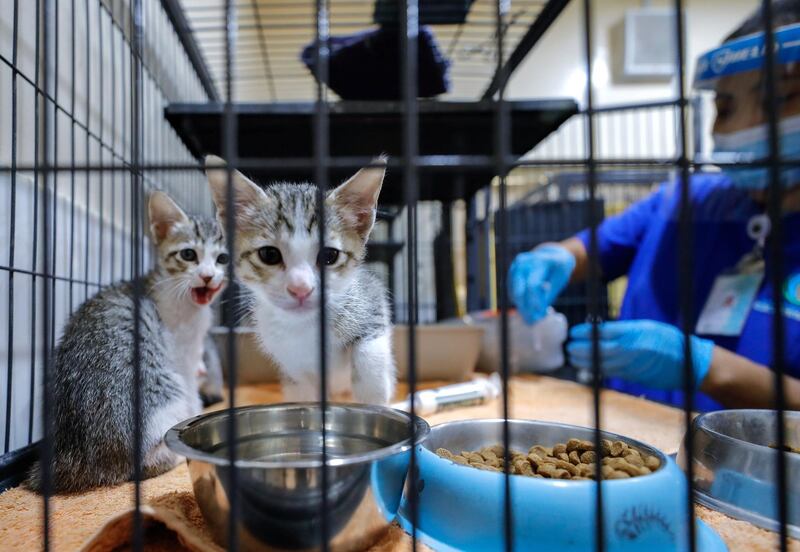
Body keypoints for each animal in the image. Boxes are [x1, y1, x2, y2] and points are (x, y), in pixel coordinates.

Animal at [27, 193, 228, 492]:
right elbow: (192, 387)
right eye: (188, 255)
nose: (207, 276)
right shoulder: (183, 354)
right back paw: (171, 455)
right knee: (140, 463)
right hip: (162, 394)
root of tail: (70, 461)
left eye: (222, 258)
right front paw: (195, 413)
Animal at [205, 155, 396, 406]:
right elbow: (304, 395)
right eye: (269, 255)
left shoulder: (370, 300)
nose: (301, 288)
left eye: (329, 255)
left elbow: (369, 355)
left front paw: (374, 400)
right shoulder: (293, 368)